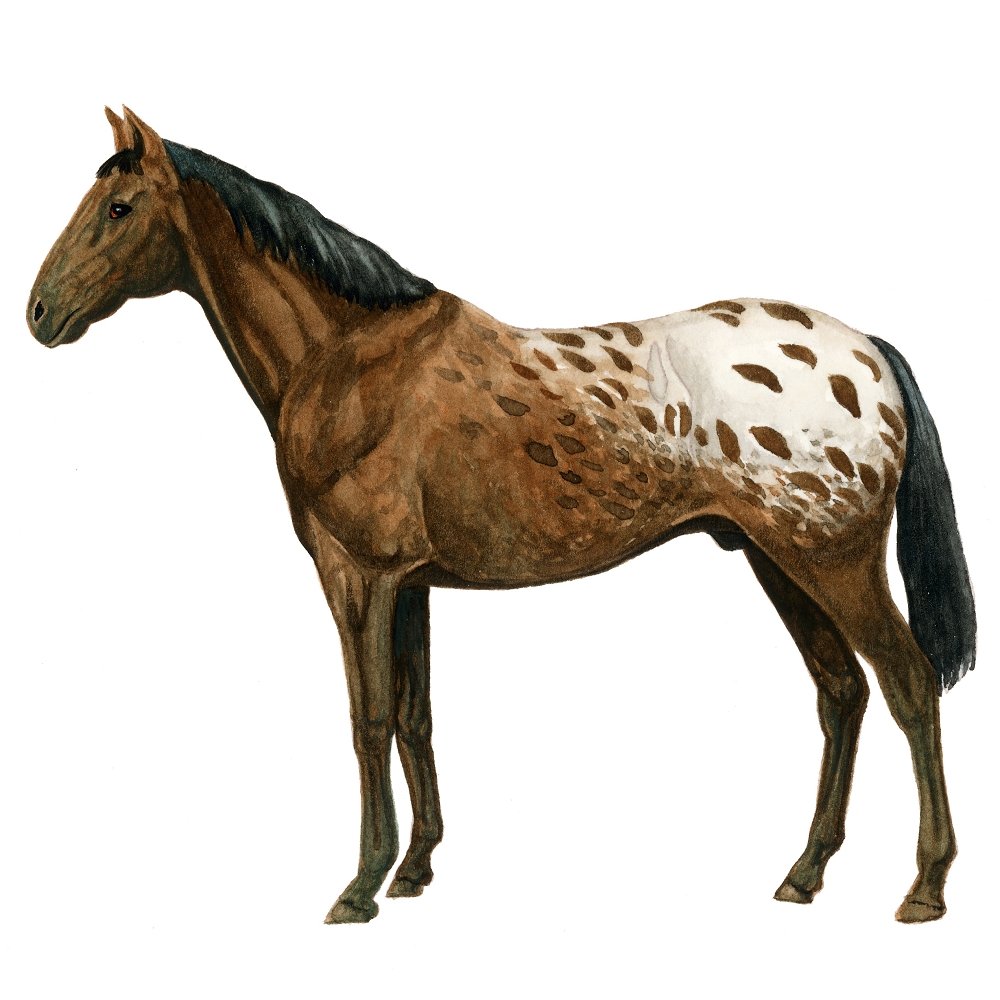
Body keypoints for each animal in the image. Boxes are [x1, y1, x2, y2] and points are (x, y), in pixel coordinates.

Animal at [27, 108, 976, 924]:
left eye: (118, 207)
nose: (39, 313)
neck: (351, 362)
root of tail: (867, 350)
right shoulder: (412, 585)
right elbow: (415, 717)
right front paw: (415, 869)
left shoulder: (358, 577)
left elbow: (369, 721)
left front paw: (360, 885)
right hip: (775, 561)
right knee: (841, 693)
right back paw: (803, 873)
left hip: (833, 563)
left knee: (907, 684)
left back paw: (924, 887)